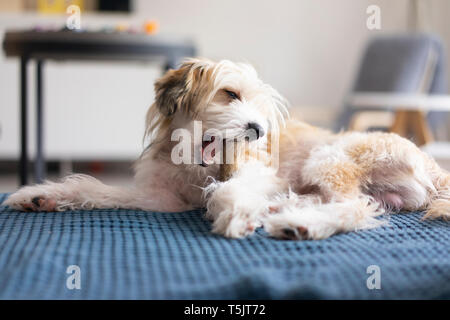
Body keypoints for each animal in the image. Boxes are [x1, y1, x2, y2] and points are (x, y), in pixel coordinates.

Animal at [4, 58, 450, 240]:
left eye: (262, 113)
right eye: (230, 94)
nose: (256, 129)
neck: (192, 168)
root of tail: (433, 166)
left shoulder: (256, 174)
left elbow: (228, 190)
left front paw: (236, 214)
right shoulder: (161, 198)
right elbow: (96, 188)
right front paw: (41, 195)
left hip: (329, 159)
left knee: (356, 207)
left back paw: (300, 224)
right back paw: (285, 210)